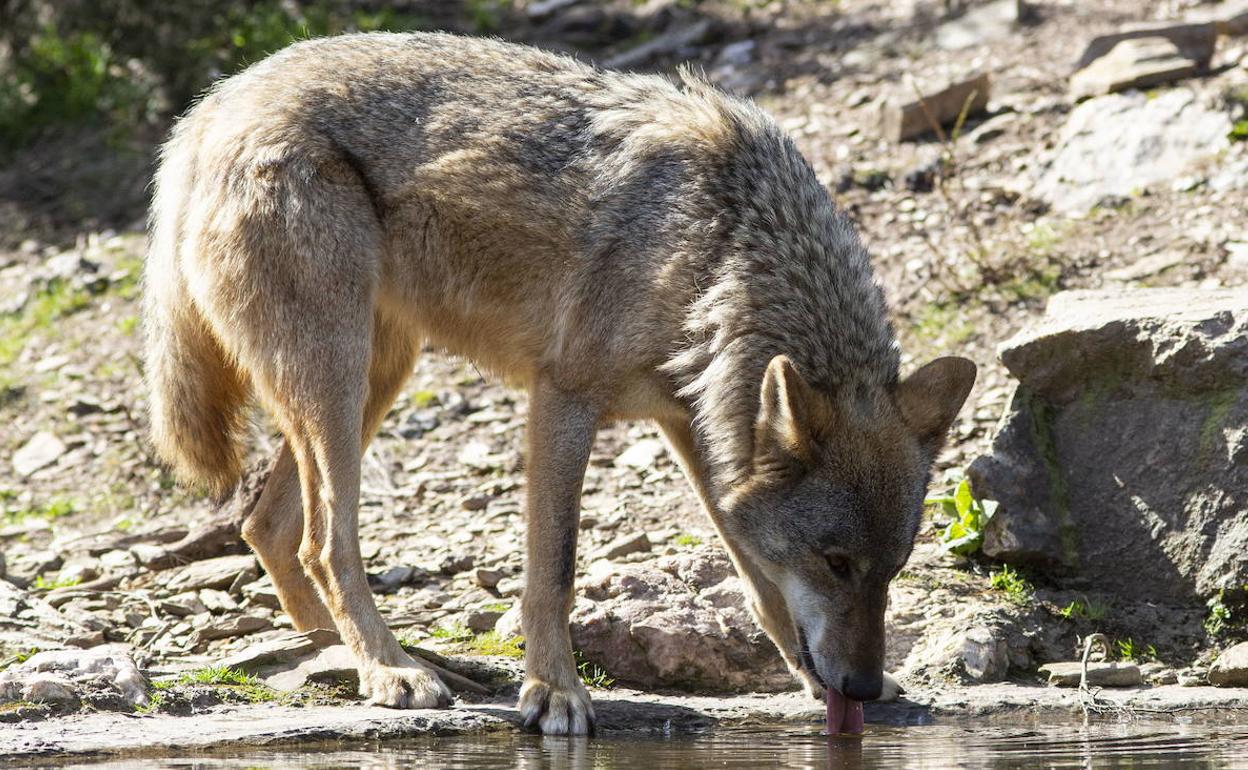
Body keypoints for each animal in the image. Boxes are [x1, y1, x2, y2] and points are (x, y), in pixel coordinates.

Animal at [143, 31, 975, 735]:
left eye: (892, 571)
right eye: (836, 563)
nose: (860, 688)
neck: (717, 251)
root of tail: (213, 105)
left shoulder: (694, 426)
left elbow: (759, 578)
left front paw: (807, 676)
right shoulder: (564, 397)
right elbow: (556, 570)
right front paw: (555, 695)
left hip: (372, 376)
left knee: (269, 525)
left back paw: (341, 655)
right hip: (338, 380)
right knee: (323, 539)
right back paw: (389, 671)